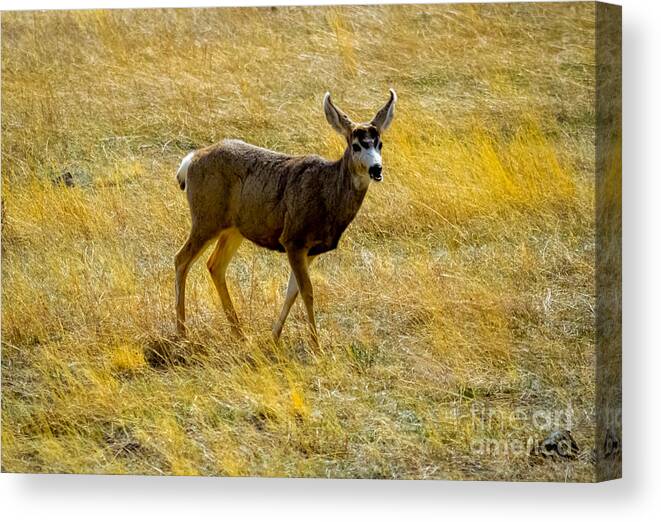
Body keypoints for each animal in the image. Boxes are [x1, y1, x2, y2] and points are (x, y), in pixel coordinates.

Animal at [173, 89, 394, 348]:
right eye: (357, 145)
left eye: (380, 144)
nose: (376, 169)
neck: (328, 194)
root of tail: (190, 161)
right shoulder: (293, 239)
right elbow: (307, 291)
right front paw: (316, 345)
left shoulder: (310, 250)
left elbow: (292, 292)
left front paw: (274, 336)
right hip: (206, 218)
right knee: (181, 259)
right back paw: (182, 333)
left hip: (233, 229)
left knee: (214, 265)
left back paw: (240, 333)